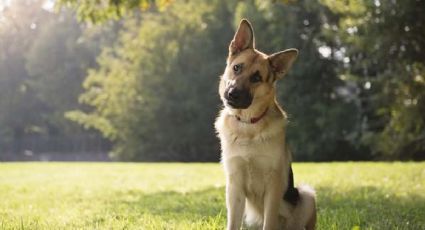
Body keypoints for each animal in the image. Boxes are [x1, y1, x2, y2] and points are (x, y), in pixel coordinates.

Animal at [214, 19, 316, 230]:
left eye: (256, 78)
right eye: (237, 68)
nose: (232, 94)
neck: (248, 125)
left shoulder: (273, 187)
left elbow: (269, 222)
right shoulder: (234, 187)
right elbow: (232, 223)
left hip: (307, 194)